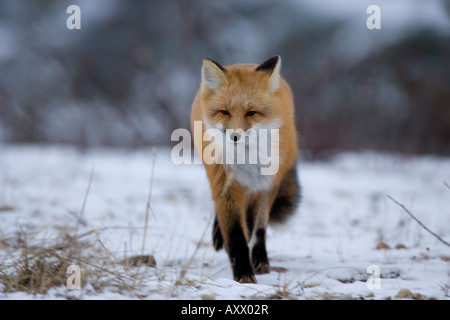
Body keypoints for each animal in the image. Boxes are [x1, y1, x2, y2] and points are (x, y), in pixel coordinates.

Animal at [191, 55, 302, 282]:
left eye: (251, 113)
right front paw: (242, 272)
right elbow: (234, 232)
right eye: (224, 112)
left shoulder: (258, 185)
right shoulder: (224, 182)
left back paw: (260, 259)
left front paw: (246, 268)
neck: (244, 161)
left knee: (260, 228)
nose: (235, 136)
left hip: (270, 187)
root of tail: (245, 62)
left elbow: (249, 226)